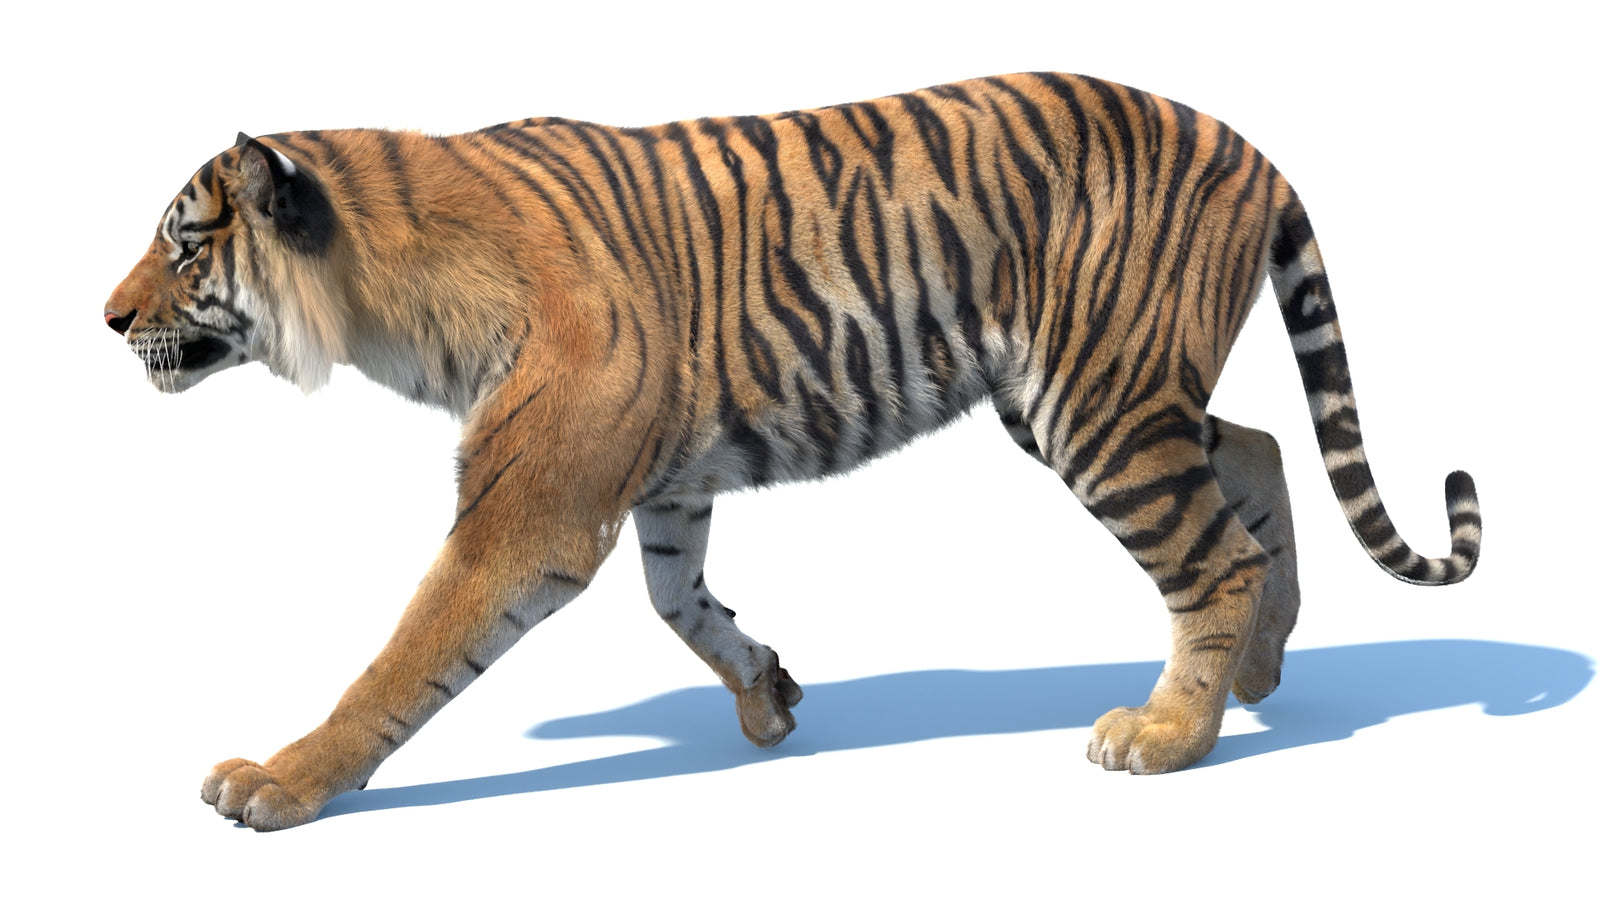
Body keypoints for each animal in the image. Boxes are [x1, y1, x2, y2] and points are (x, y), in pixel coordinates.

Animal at [104, 72, 1482, 831]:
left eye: (183, 245)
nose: (106, 319)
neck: (386, 291)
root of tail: (1253, 147)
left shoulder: (526, 509)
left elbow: (400, 659)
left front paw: (278, 782)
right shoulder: (660, 480)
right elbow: (676, 599)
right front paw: (766, 693)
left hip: (1098, 403)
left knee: (1214, 553)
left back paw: (1167, 733)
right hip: (1108, 396)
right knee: (1257, 448)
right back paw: (1260, 668)